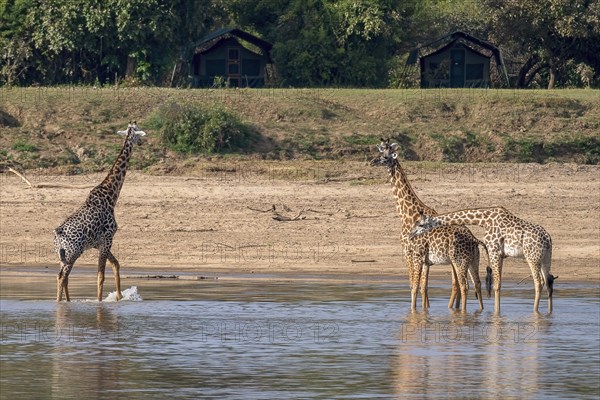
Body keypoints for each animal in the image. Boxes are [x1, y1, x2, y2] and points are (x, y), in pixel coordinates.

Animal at [54, 120, 147, 302]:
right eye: (137, 131)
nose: (142, 142)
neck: (111, 196)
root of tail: (58, 234)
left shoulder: (99, 243)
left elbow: (116, 264)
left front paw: (119, 297)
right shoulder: (108, 238)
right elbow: (101, 276)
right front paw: (100, 302)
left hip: (64, 255)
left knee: (63, 277)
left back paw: (67, 302)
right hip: (73, 252)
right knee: (62, 277)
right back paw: (60, 303)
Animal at [370, 139, 488, 310]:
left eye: (386, 156)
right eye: (379, 153)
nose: (372, 162)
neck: (407, 215)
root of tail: (473, 238)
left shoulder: (410, 253)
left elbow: (414, 285)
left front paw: (413, 311)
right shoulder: (425, 259)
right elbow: (423, 287)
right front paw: (425, 310)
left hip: (457, 261)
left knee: (461, 285)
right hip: (468, 261)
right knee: (474, 284)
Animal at [410, 208, 556, 314]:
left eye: (421, 224)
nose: (411, 234)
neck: (484, 220)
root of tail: (548, 238)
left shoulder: (493, 250)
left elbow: (496, 285)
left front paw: (496, 313)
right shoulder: (499, 254)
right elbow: (496, 284)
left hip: (532, 257)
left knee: (538, 282)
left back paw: (535, 311)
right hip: (545, 258)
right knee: (548, 282)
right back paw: (549, 312)